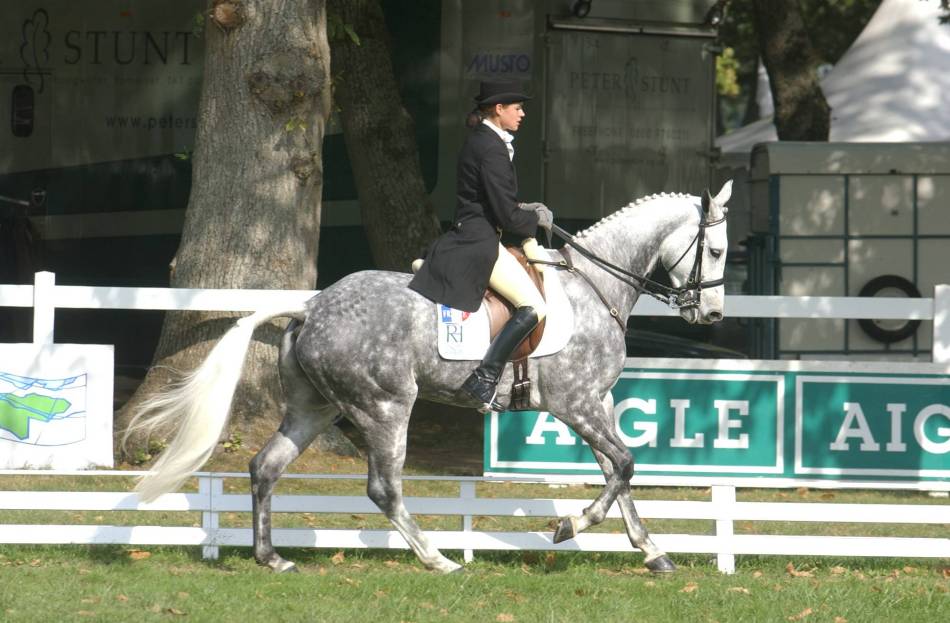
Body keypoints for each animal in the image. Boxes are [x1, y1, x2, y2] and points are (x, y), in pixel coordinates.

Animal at [126, 180, 732, 576]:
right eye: (717, 249)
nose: (712, 315)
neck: (595, 287)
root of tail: (311, 305)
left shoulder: (598, 402)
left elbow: (617, 470)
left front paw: (652, 551)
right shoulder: (574, 403)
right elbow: (624, 465)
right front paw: (569, 527)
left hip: (314, 409)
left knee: (265, 467)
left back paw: (272, 558)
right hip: (385, 407)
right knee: (383, 488)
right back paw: (438, 559)